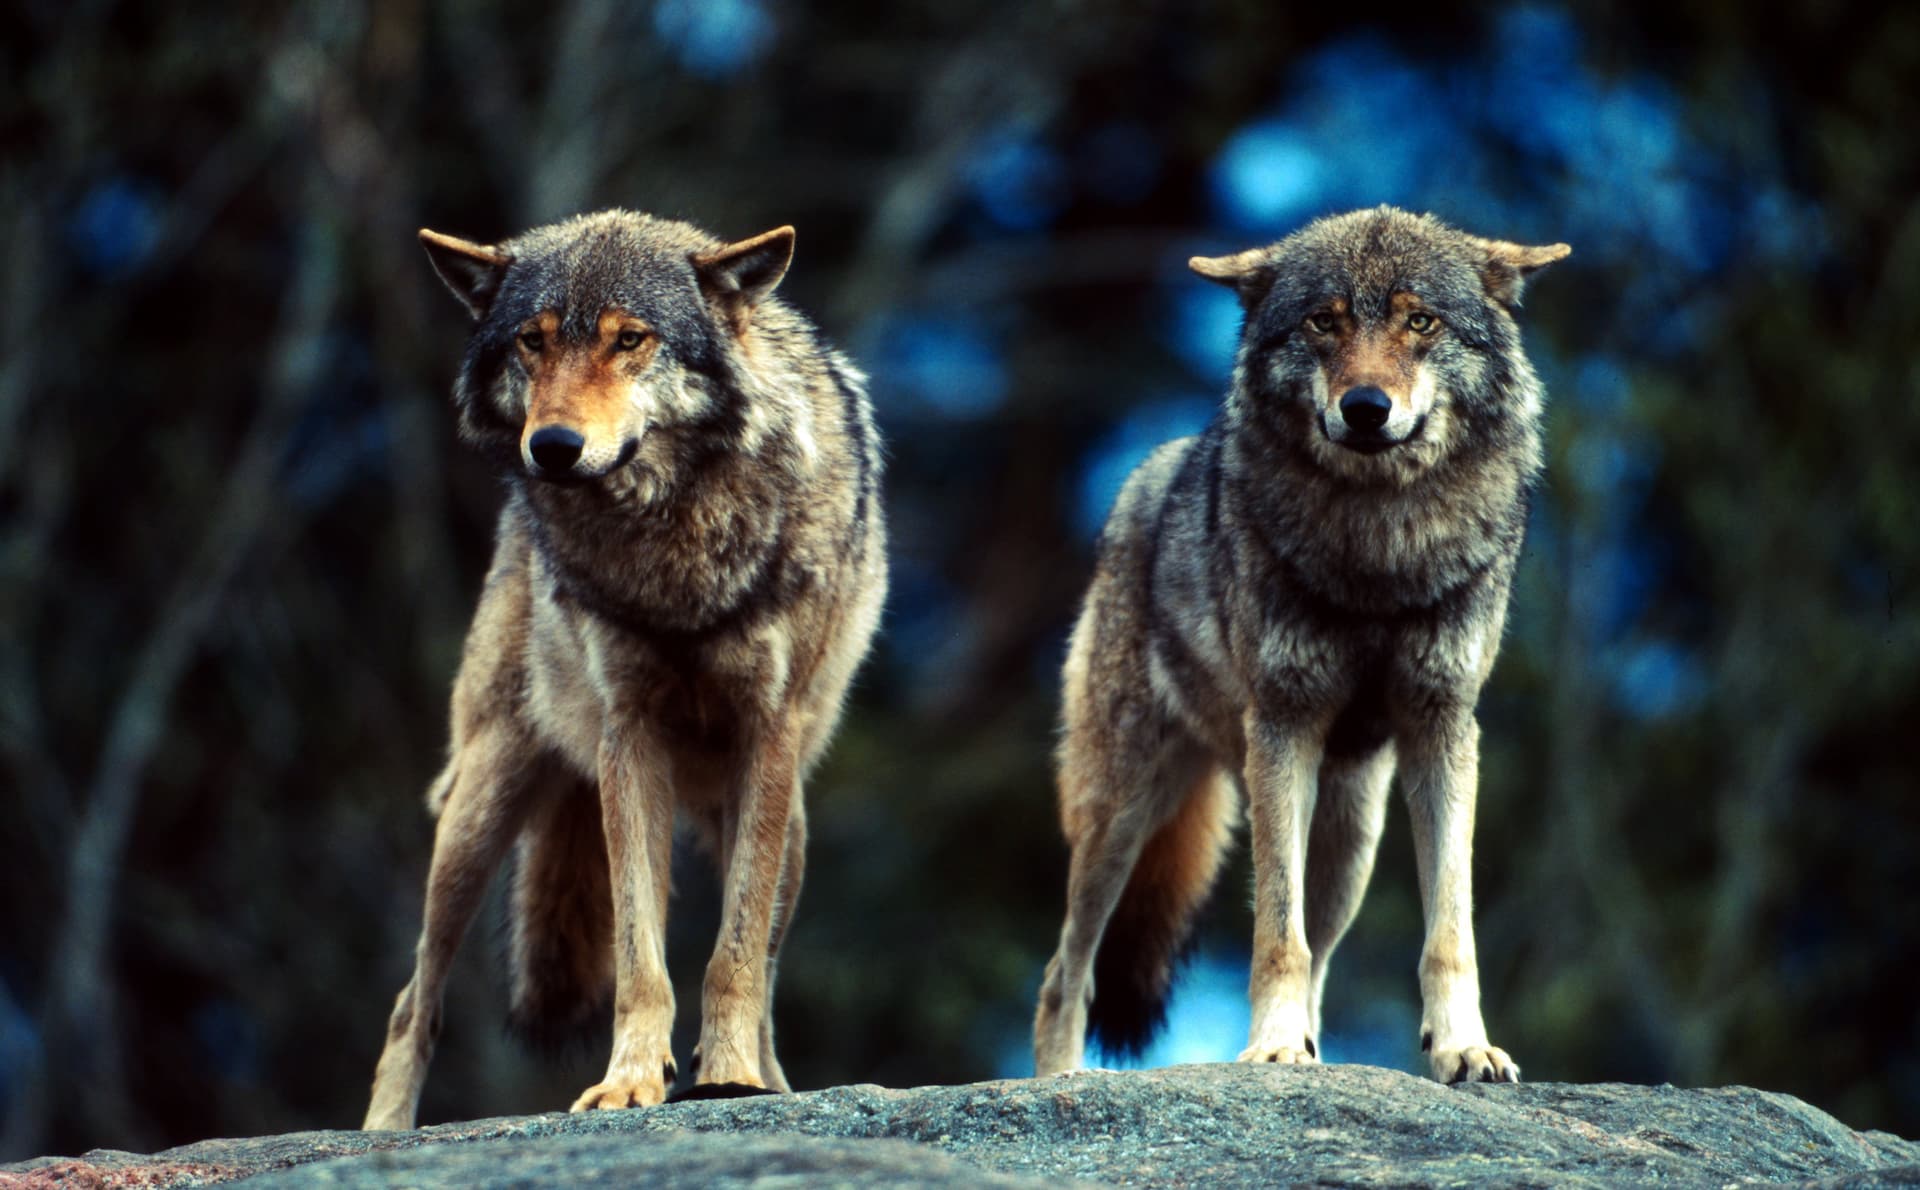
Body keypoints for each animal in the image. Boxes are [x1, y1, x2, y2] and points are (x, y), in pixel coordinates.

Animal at [362, 209, 885, 1130]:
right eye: (533, 342)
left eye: (629, 339)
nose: (553, 447)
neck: (669, 545)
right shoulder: (626, 740)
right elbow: (641, 955)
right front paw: (630, 1081)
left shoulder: (767, 735)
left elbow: (734, 957)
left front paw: (730, 1080)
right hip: (478, 805)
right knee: (410, 1000)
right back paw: (382, 1131)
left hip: (788, 832)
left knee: (767, 972)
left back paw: (770, 1078)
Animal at [1031, 206, 1567, 1085]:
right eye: (1324, 322)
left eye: (1420, 322)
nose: (1365, 407)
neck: (1378, 550)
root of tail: (1150, 474)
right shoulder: (1283, 728)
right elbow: (1276, 933)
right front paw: (1273, 1047)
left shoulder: (1444, 729)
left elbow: (1449, 930)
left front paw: (1463, 1046)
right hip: (1120, 813)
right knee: (1064, 972)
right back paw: (1063, 1081)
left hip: (1350, 842)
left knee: (1321, 952)